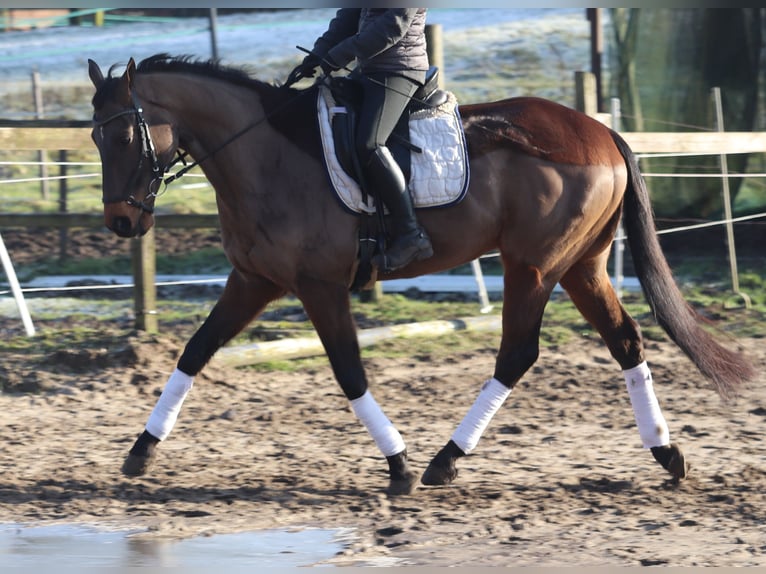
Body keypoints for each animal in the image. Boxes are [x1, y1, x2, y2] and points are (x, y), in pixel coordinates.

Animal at [88, 55, 756, 496]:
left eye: (124, 135)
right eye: (94, 137)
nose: (122, 221)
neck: (264, 157)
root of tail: (600, 130)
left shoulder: (320, 287)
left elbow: (349, 373)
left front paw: (400, 466)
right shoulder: (253, 281)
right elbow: (195, 352)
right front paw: (140, 452)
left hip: (533, 266)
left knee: (517, 354)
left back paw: (444, 460)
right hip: (581, 266)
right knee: (625, 341)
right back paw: (667, 453)